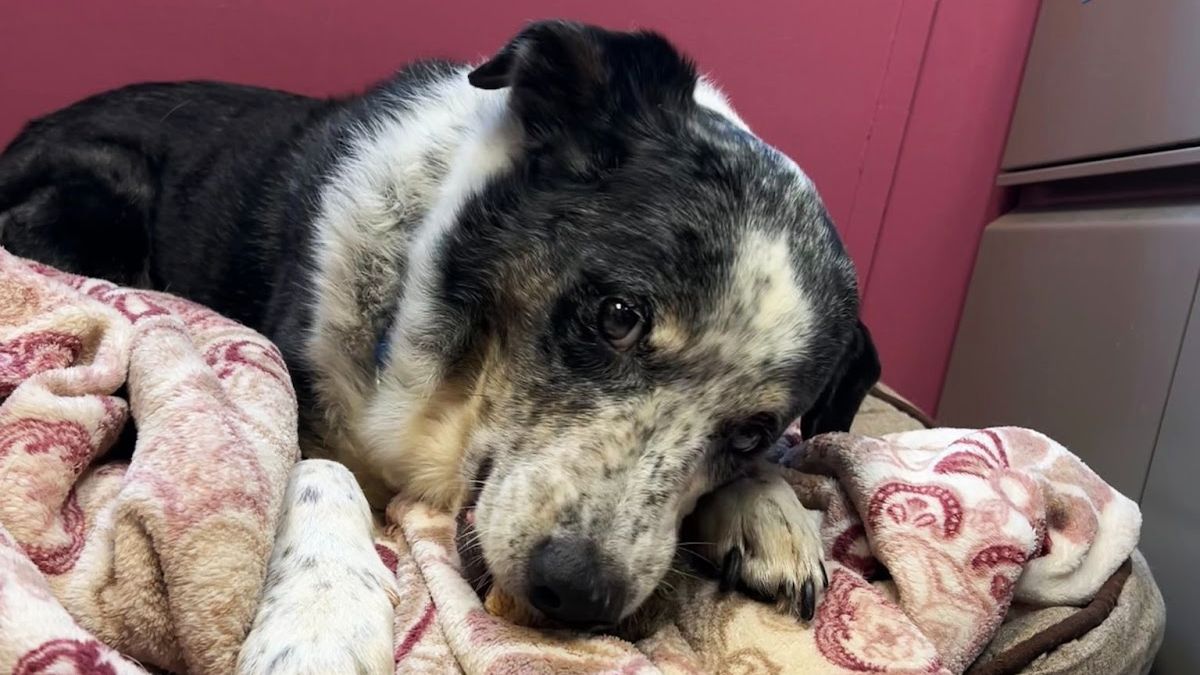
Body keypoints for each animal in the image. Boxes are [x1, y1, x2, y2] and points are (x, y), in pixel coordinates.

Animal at [2, 21, 883, 629]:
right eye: (618, 315)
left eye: (751, 429)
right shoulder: (308, 413)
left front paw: (770, 511)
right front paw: (319, 614)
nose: (576, 592)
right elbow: (323, 484)